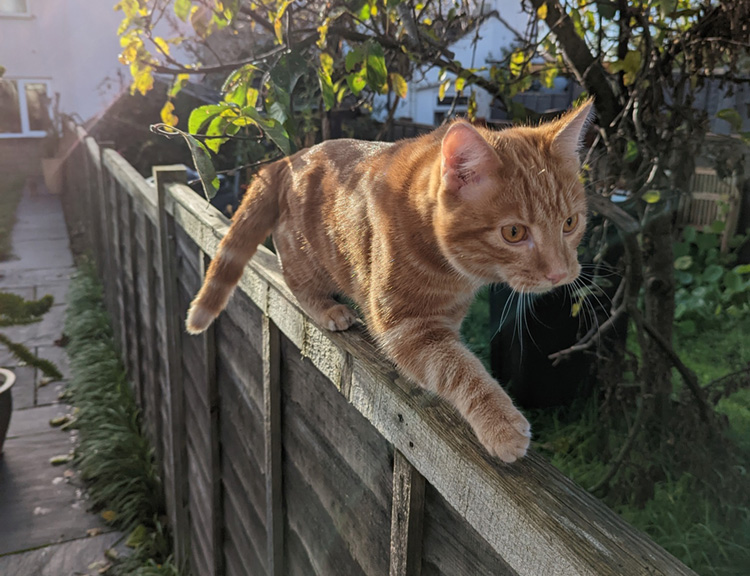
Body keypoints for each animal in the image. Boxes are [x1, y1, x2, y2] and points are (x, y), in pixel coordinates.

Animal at [187, 100, 592, 464]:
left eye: (570, 223)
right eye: (514, 233)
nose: (561, 273)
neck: (454, 271)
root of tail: (289, 158)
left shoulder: (443, 320)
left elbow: (454, 356)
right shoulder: (405, 327)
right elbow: (459, 369)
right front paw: (501, 423)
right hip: (304, 254)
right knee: (296, 281)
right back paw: (328, 309)